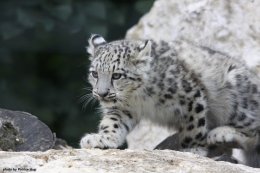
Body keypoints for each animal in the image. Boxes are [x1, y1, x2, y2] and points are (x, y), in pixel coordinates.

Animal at [79, 34, 260, 168]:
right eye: (94, 73)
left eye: (117, 75)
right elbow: (112, 123)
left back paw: (222, 134)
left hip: (237, 98)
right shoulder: (122, 109)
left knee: (254, 130)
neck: (136, 97)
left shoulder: (191, 97)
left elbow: (194, 126)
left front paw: (193, 150)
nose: (102, 93)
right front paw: (103, 139)